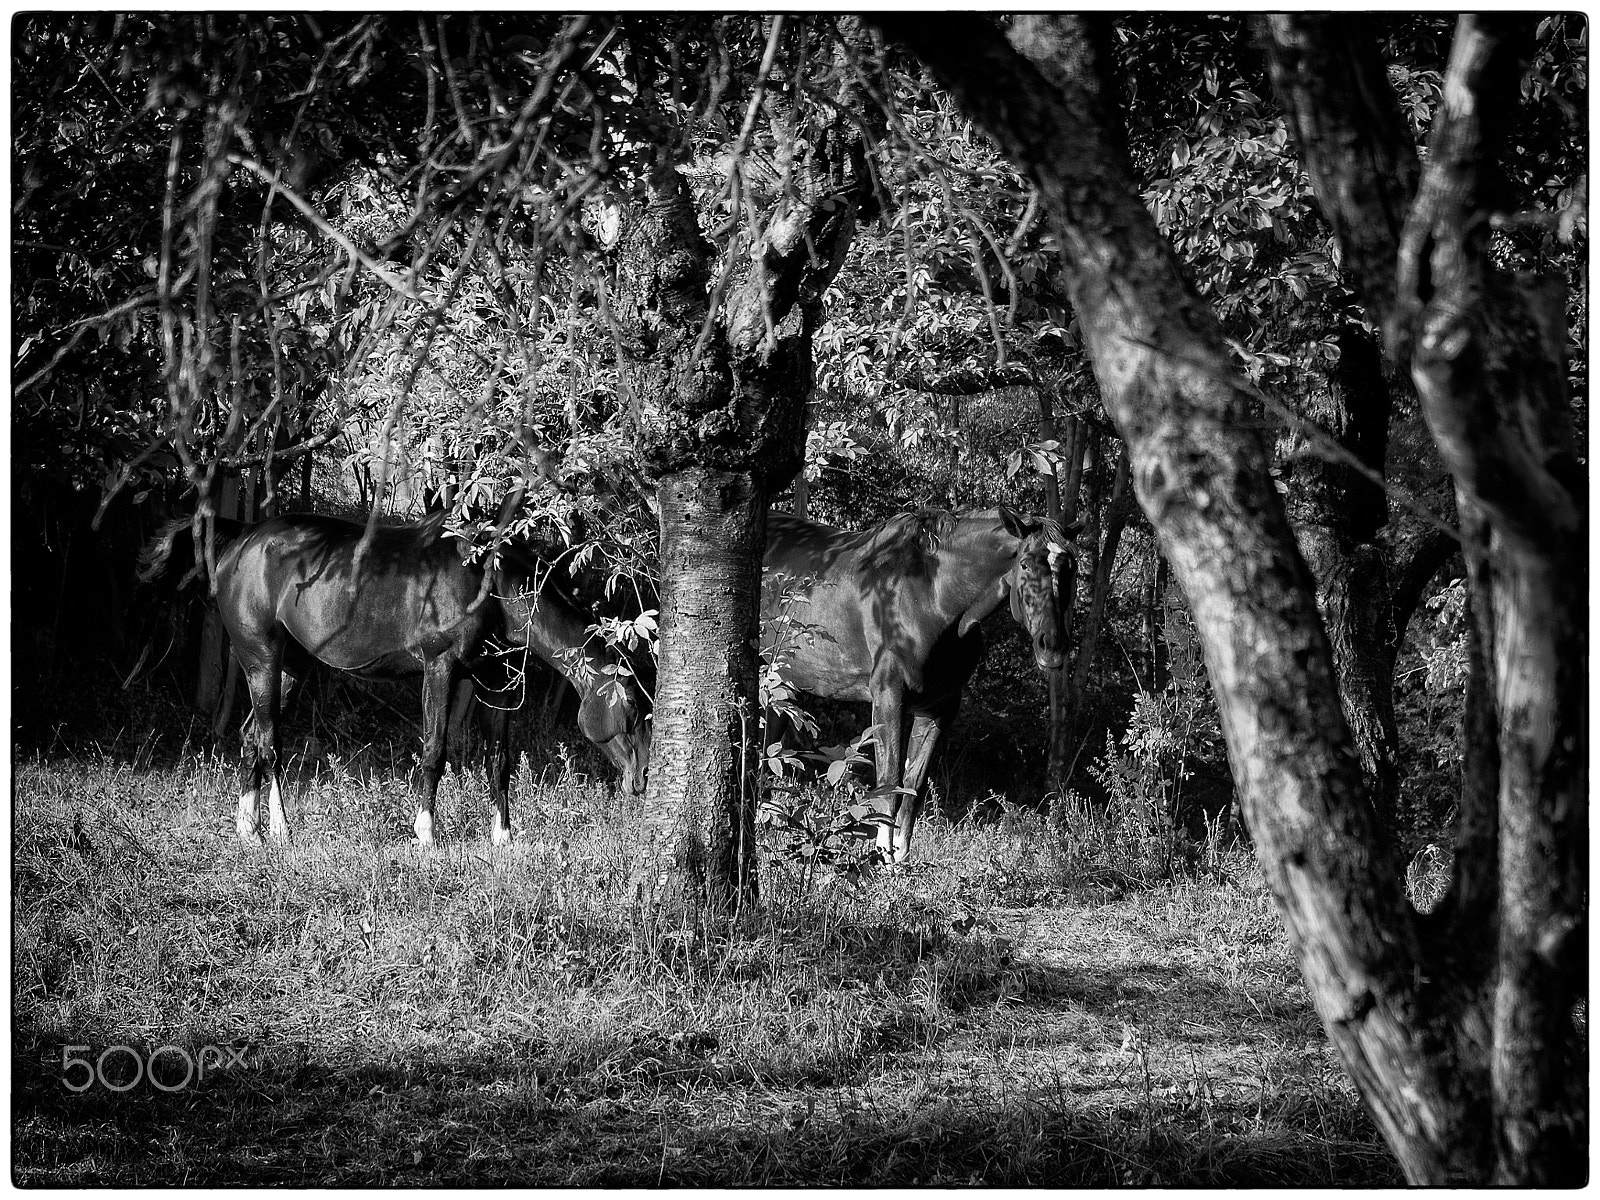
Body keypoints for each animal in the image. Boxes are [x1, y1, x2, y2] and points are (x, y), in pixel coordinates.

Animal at [136, 512, 649, 851]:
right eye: (631, 706)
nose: (642, 780)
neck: (491, 582)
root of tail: (239, 540)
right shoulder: (440, 668)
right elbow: (435, 752)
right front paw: (426, 837)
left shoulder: (495, 682)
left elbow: (499, 760)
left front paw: (503, 839)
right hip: (261, 660)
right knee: (269, 743)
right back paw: (279, 829)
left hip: (290, 668)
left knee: (249, 737)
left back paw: (248, 829)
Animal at [758, 508, 1075, 864]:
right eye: (1025, 564)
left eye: (1072, 567)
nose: (1053, 647)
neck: (931, 597)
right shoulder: (888, 697)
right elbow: (889, 781)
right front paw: (882, 855)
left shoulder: (940, 707)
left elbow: (915, 784)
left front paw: (900, 857)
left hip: (782, 686)